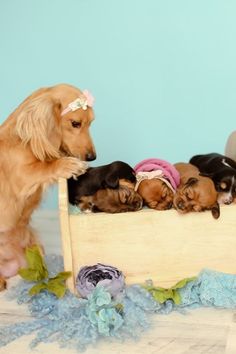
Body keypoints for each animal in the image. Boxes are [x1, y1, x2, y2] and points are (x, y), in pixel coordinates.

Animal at [0, 83, 97, 290]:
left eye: (91, 123)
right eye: (75, 123)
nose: (92, 157)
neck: (24, 142)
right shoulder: (21, 177)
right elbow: (45, 167)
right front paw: (68, 165)